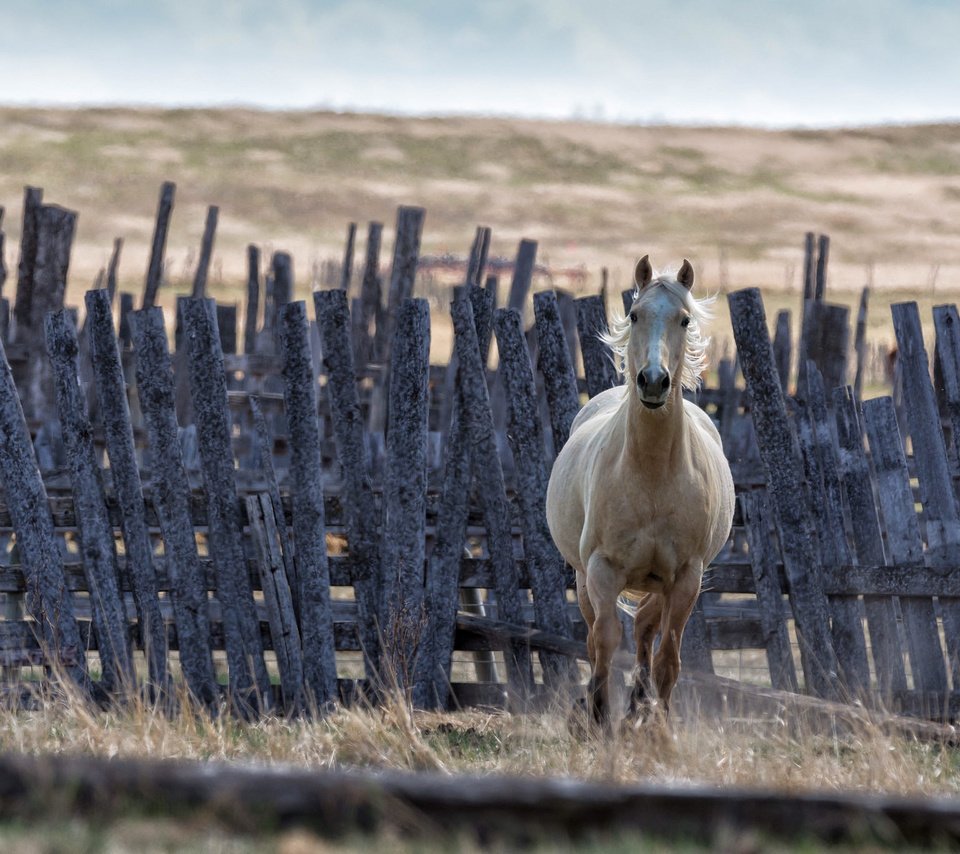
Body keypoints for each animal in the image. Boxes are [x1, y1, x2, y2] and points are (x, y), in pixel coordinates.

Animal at [548, 256, 736, 728]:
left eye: (684, 319)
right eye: (635, 315)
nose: (653, 381)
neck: (650, 474)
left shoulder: (685, 578)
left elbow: (667, 655)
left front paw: (657, 724)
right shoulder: (601, 569)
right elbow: (603, 641)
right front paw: (597, 718)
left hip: (657, 583)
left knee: (646, 630)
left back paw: (638, 706)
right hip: (583, 578)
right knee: (599, 634)